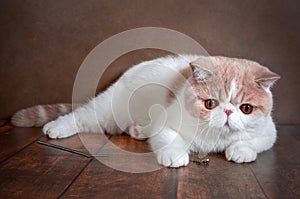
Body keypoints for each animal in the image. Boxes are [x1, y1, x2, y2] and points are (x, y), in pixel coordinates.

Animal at [11, 54, 278, 168]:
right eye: (210, 103)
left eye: (246, 108)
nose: (229, 113)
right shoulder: (166, 123)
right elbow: (169, 140)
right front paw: (175, 155)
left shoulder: (268, 133)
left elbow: (252, 142)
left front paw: (240, 151)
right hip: (107, 112)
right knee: (80, 116)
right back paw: (56, 127)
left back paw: (138, 130)